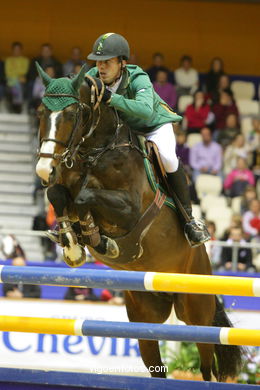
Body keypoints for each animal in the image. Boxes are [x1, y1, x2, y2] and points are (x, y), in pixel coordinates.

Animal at [35, 64, 244, 380]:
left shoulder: (130, 210)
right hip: (144, 316)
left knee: (206, 361)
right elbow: (57, 194)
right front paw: (72, 243)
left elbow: (85, 198)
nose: (43, 168)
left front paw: (96, 238)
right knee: (156, 364)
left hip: (195, 309)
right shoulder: (63, 185)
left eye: (72, 114)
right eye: (40, 112)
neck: (97, 151)